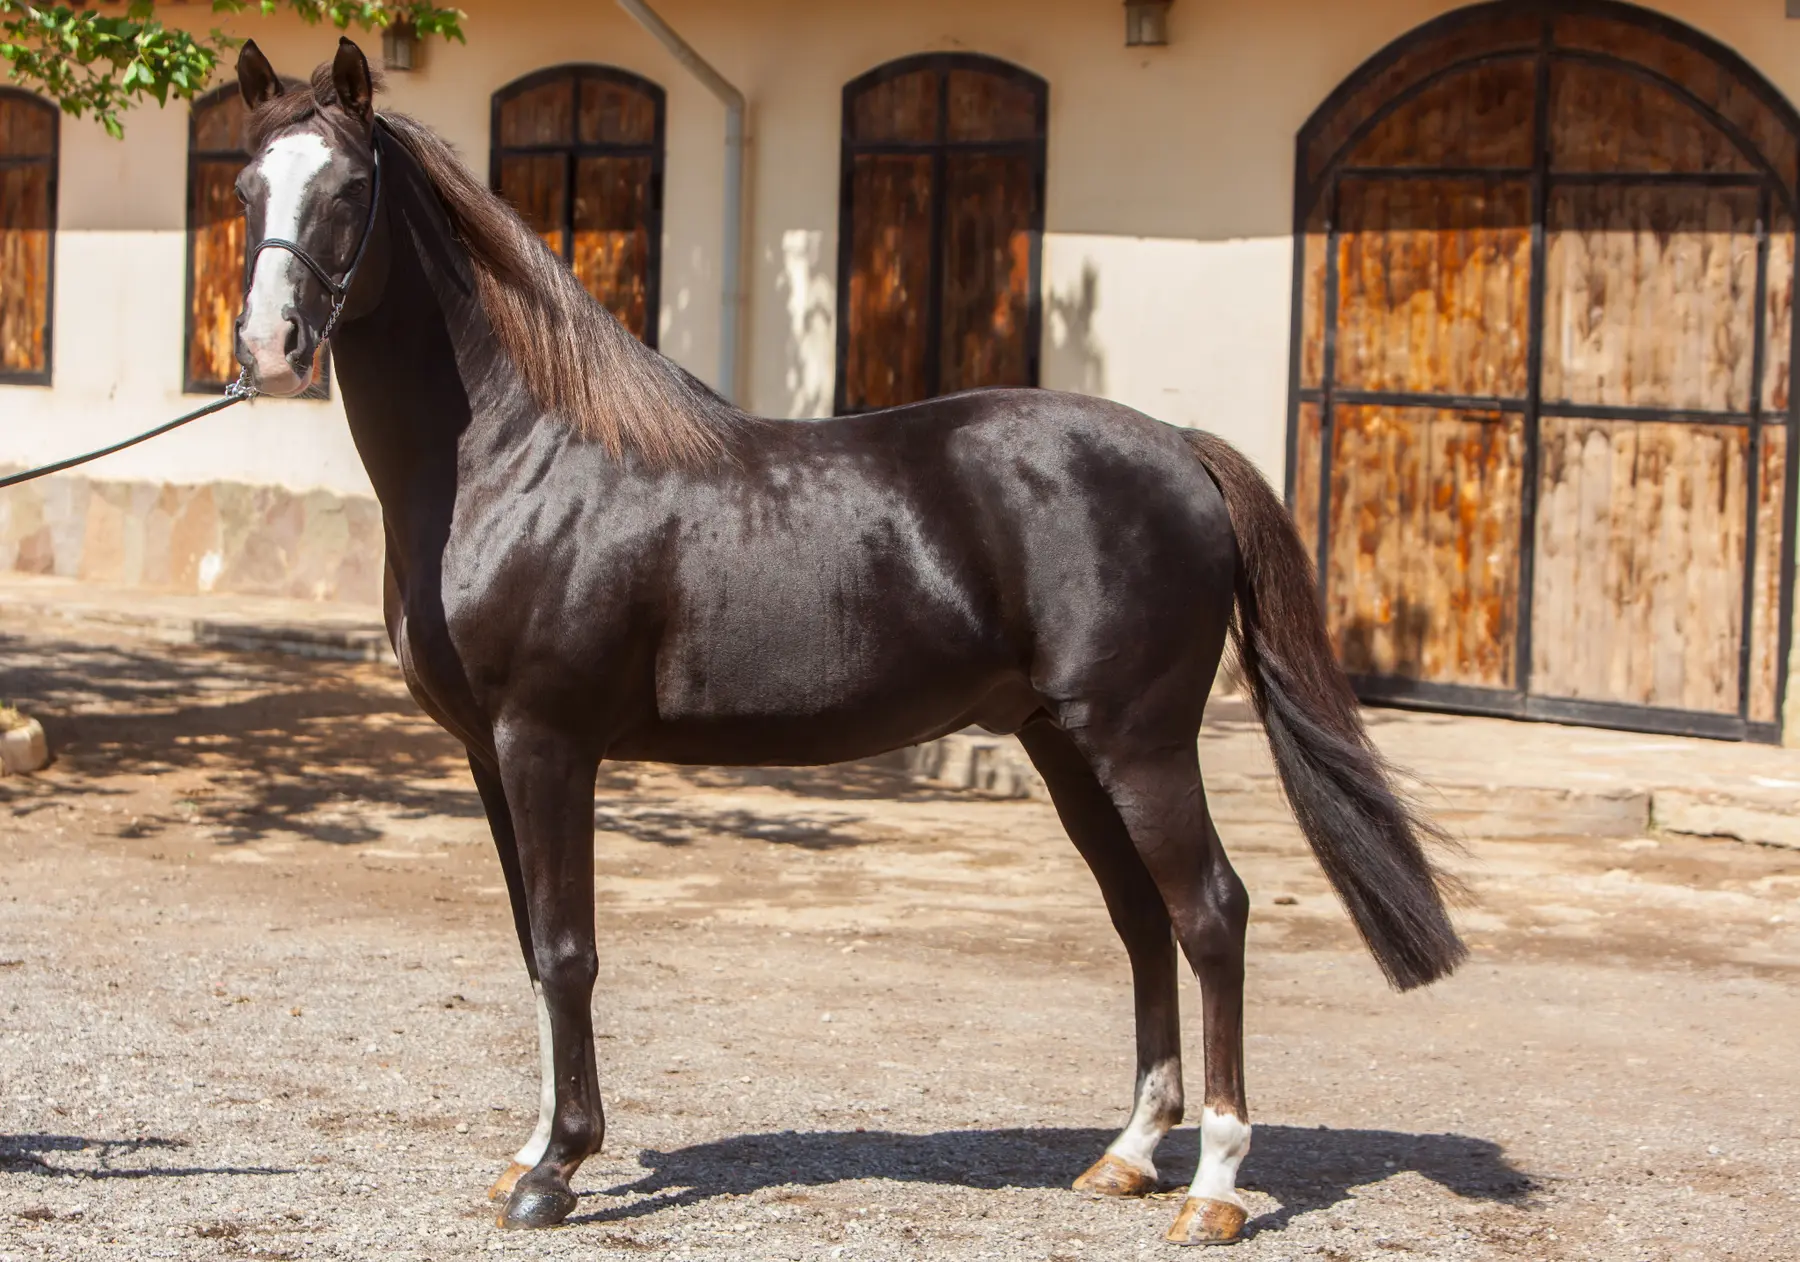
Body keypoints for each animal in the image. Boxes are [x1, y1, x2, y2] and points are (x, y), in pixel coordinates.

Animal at [226, 37, 1465, 1245]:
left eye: (346, 189)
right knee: (1139, 915)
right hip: (1066, 746)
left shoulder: (547, 743)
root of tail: (1177, 443)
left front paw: (558, 1170)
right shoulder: (491, 754)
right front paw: (531, 1154)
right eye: (243, 187)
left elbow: (570, 950)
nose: (269, 349)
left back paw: (1214, 1184)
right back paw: (1125, 1155)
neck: (524, 456)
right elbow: (536, 946)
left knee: (1210, 912)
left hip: (1141, 743)